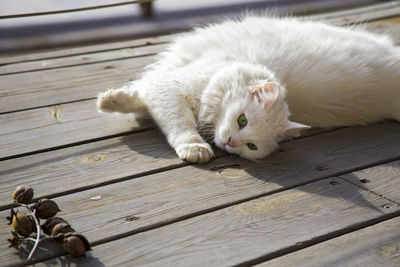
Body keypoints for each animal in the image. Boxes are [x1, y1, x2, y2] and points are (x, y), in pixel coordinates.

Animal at [97, 16, 400, 164]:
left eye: (251, 146)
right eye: (242, 119)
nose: (231, 143)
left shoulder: (168, 88)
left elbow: (164, 114)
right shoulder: (172, 85)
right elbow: (163, 111)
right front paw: (109, 100)